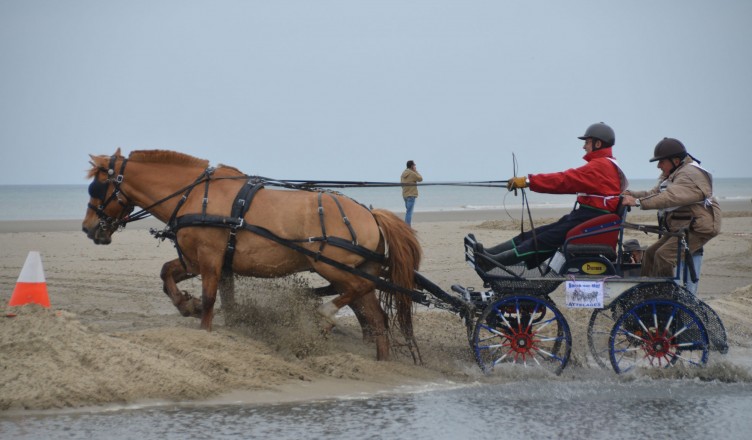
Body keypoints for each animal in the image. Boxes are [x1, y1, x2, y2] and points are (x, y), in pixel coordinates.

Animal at [83, 149, 424, 360]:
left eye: (96, 188)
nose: (88, 228)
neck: (195, 195)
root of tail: (370, 213)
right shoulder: (197, 259)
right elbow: (168, 274)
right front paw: (187, 305)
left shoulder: (209, 258)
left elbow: (210, 298)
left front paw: (203, 329)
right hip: (355, 267)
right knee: (376, 316)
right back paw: (381, 361)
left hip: (335, 267)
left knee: (361, 291)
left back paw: (325, 314)